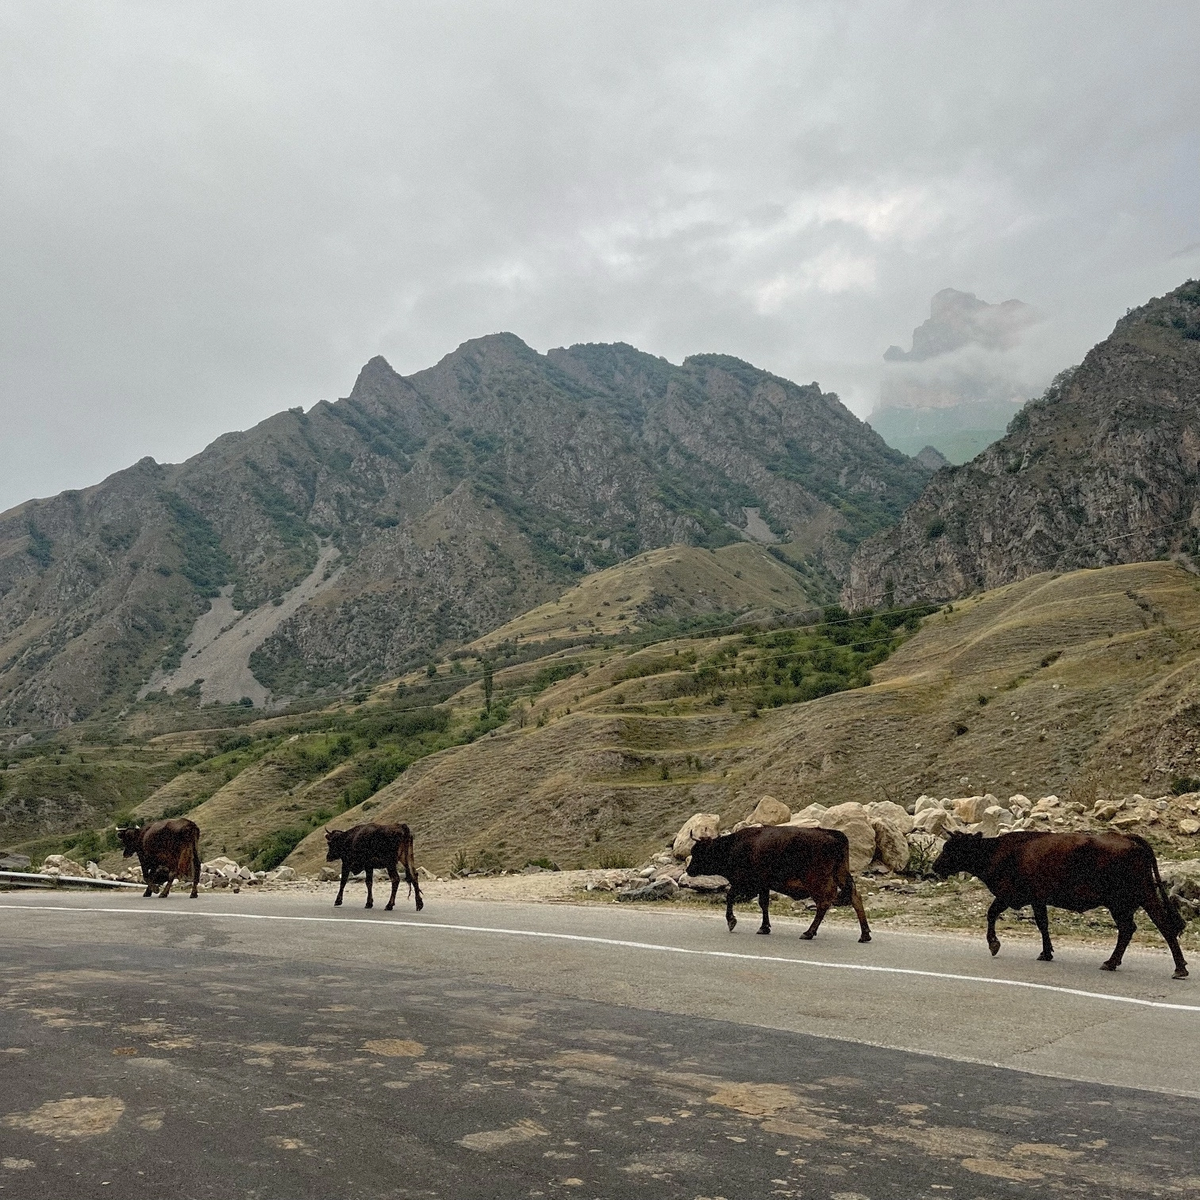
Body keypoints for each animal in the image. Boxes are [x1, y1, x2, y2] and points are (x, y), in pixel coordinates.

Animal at [686, 830, 873, 940]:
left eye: (698, 852)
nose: (688, 869)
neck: (733, 847)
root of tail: (833, 834)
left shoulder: (745, 883)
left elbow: (730, 896)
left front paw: (731, 921)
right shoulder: (763, 885)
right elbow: (764, 904)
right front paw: (764, 927)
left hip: (816, 881)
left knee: (824, 904)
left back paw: (809, 932)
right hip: (841, 874)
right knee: (855, 897)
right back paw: (865, 934)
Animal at [931, 830, 1185, 979]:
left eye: (949, 848)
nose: (934, 866)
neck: (995, 852)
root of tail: (1129, 838)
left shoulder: (1010, 895)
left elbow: (991, 913)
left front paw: (994, 944)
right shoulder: (1037, 899)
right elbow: (1042, 924)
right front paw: (1046, 953)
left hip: (1137, 897)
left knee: (1161, 926)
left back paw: (1179, 968)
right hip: (1125, 903)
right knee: (1129, 930)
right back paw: (1113, 962)